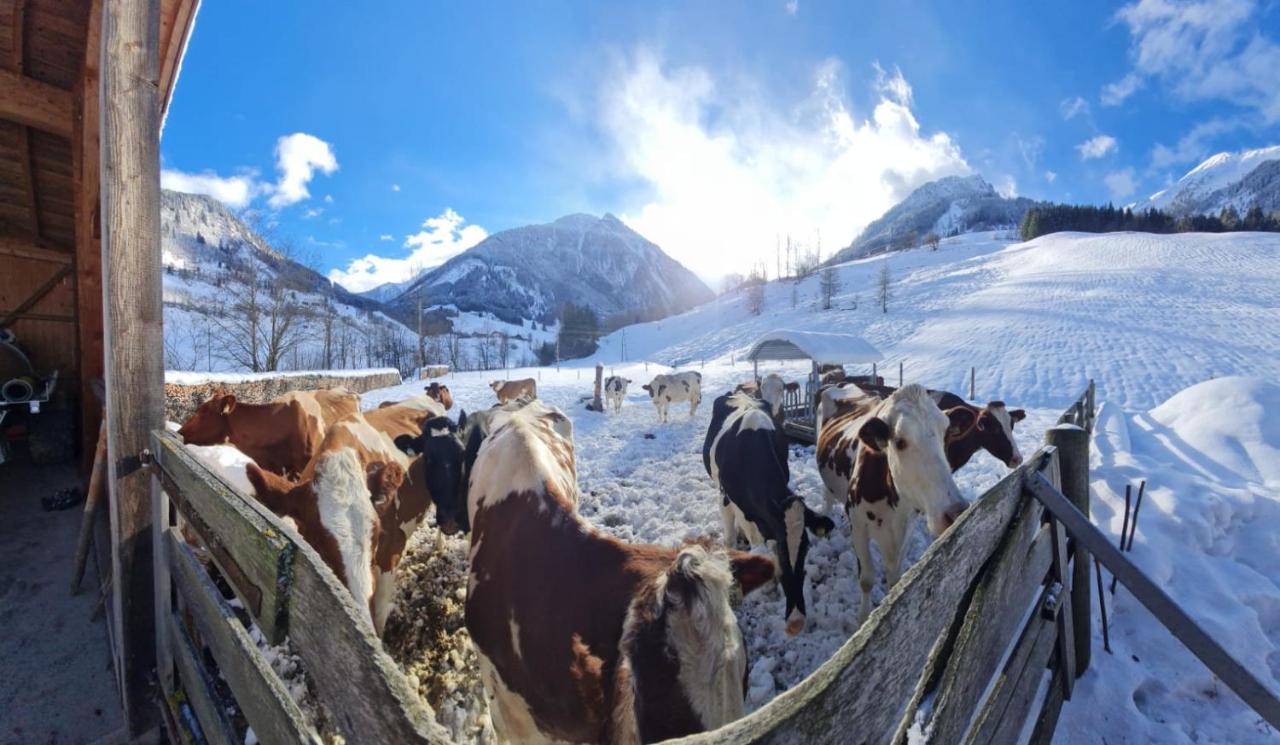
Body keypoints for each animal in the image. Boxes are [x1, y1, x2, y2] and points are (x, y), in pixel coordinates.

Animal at [819, 386, 967, 624]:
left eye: (947, 434)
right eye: (899, 441)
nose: (956, 512)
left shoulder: (905, 527)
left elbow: (895, 579)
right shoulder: (858, 527)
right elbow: (867, 579)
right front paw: (863, 619)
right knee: (827, 493)